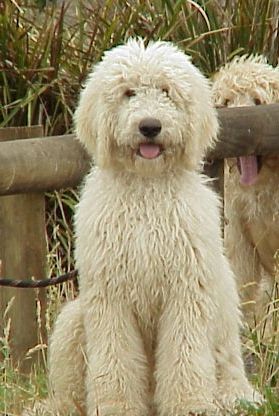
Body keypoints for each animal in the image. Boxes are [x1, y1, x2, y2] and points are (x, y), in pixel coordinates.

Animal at [26, 39, 260, 416]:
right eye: (128, 92)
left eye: (166, 91)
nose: (150, 126)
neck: (146, 190)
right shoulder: (110, 296)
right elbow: (116, 357)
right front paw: (116, 406)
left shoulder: (185, 292)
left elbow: (184, 354)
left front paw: (189, 405)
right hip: (76, 318)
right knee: (70, 390)